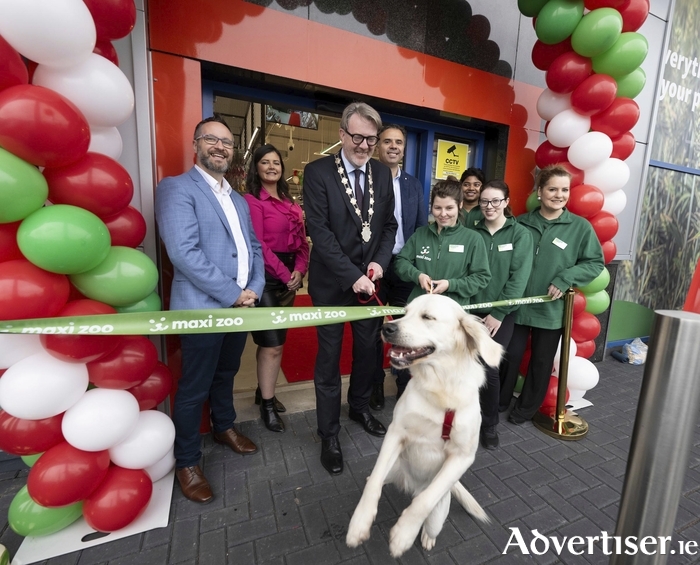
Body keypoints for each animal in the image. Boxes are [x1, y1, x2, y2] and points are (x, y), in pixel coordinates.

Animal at [346, 294, 504, 556]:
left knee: (430, 516)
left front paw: (403, 534)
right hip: (395, 468)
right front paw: (359, 523)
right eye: (405, 312)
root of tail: (410, 484)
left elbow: (424, 501)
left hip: (441, 505)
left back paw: (427, 536)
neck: (440, 385)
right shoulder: (395, 433)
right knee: (377, 478)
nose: (387, 328)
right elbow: (375, 481)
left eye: (427, 317)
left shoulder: (463, 456)